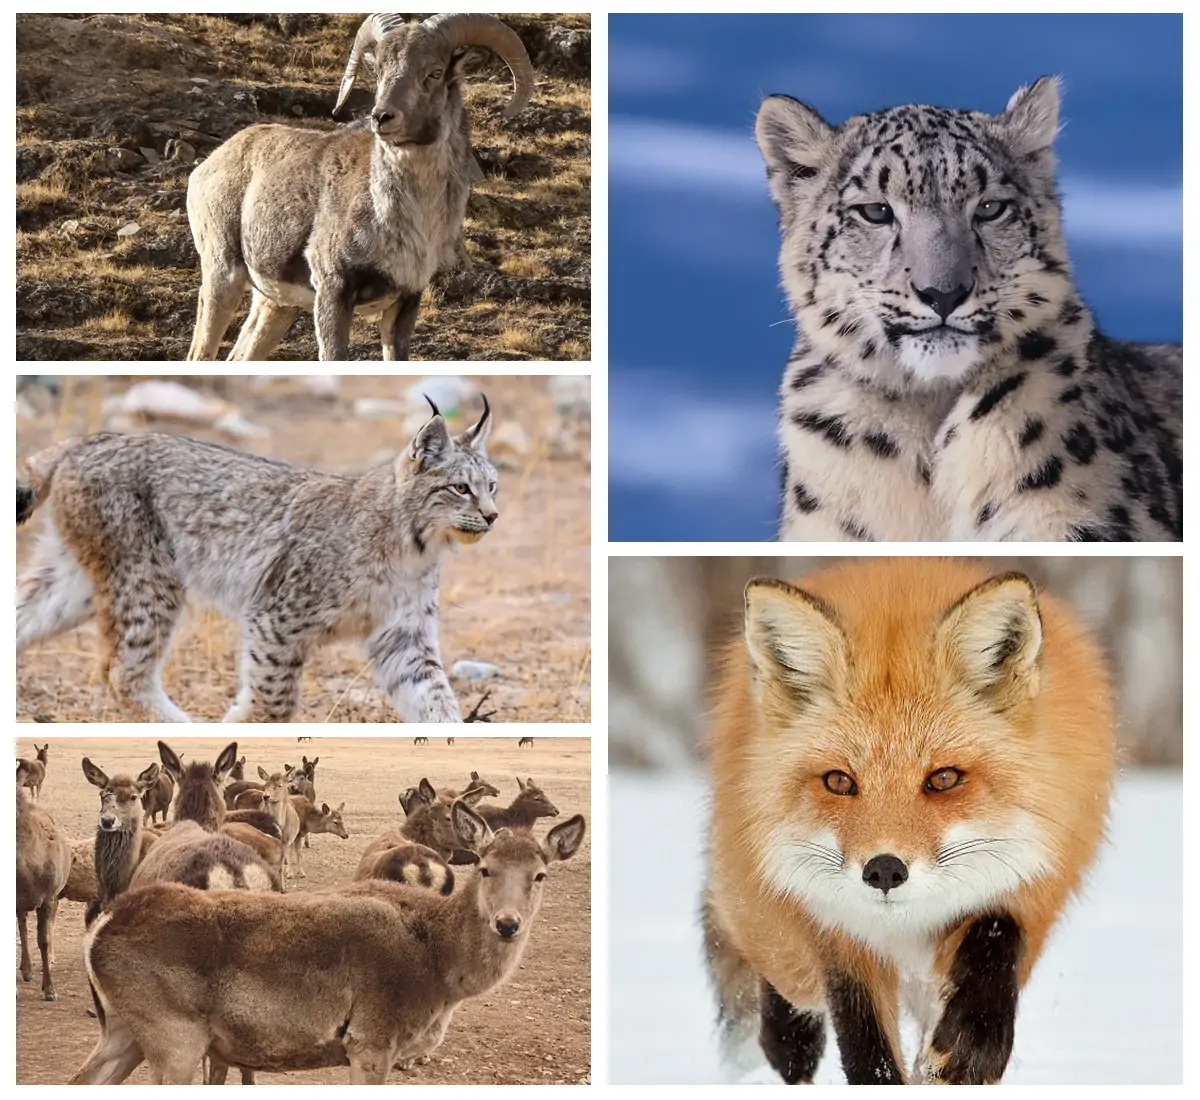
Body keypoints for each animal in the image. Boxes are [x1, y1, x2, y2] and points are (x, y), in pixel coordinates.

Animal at [16, 398, 498, 723]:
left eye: (492, 486)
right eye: (460, 488)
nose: (493, 517)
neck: (413, 546)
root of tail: (90, 439)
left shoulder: (404, 635)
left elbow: (434, 698)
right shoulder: (278, 617)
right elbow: (273, 699)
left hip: (83, 579)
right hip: (148, 574)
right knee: (123, 674)